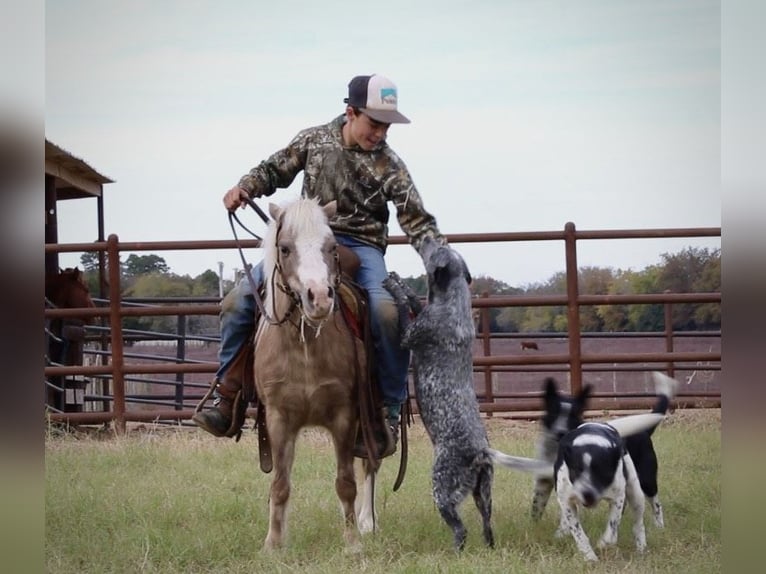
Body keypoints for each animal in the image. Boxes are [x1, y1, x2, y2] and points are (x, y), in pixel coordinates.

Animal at [255, 199, 378, 552]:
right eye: (284, 248)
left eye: (332, 246)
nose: (320, 298)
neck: (305, 345)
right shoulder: (278, 417)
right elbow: (280, 484)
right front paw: (273, 544)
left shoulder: (346, 414)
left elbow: (345, 482)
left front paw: (352, 543)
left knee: (371, 462)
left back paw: (367, 521)